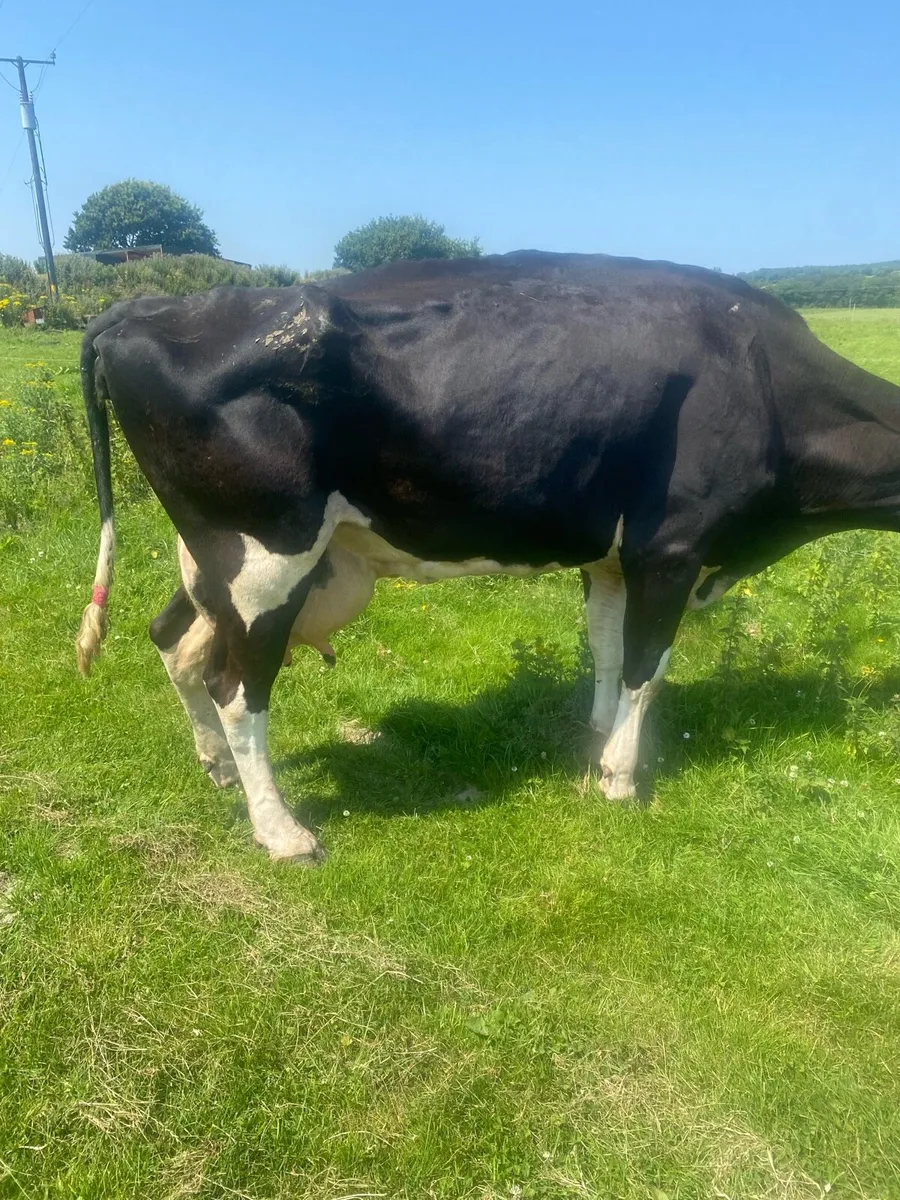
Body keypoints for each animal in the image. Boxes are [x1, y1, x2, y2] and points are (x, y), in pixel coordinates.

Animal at [75, 251, 900, 863]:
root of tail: (142, 308)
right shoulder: (672, 545)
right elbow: (647, 667)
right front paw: (620, 777)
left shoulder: (609, 556)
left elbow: (606, 649)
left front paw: (594, 736)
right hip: (266, 554)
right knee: (234, 685)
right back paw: (281, 831)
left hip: (227, 555)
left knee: (174, 639)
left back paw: (215, 768)